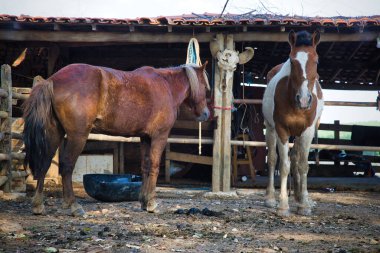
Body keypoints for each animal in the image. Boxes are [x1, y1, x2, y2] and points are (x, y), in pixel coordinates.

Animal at [23, 62, 211, 215]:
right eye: (205, 87)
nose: (206, 114)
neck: (166, 86)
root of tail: (51, 80)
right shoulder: (159, 137)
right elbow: (155, 167)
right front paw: (151, 203)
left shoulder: (145, 138)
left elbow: (145, 167)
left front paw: (143, 201)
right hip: (77, 136)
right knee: (67, 166)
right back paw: (73, 206)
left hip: (55, 132)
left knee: (44, 163)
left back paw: (38, 205)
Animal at [264, 30, 324, 216]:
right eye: (292, 61)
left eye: (316, 60)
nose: (304, 100)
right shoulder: (281, 130)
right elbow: (283, 165)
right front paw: (283, 206)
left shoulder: (308, 131)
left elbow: (303, 165)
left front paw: (303, 204)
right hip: (270, 129)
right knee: (273, 159)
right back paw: (270, 198)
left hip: (298, 134)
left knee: (296, 159)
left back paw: (300, 197)